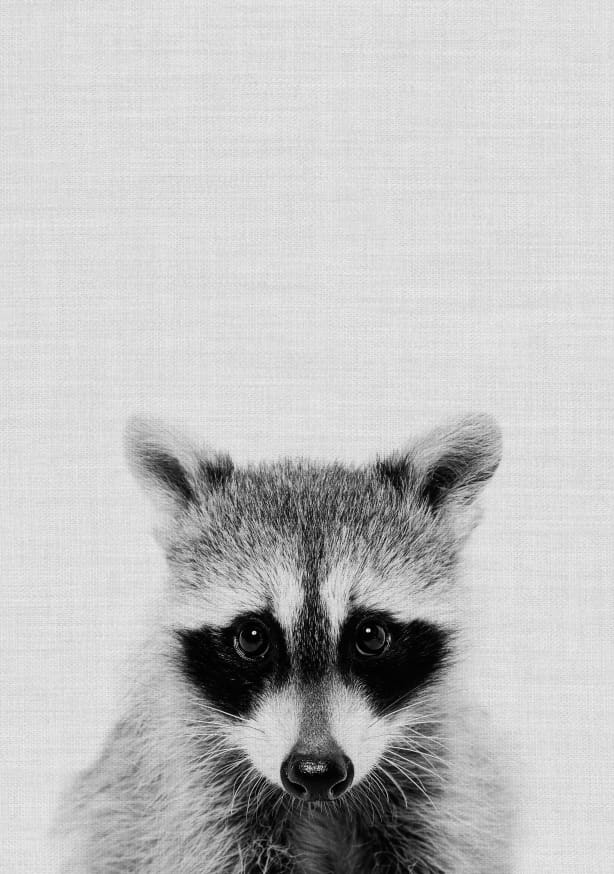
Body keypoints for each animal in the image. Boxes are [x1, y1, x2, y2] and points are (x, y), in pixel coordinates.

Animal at [57, 413, 512, 874]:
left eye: (371, 636)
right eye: (252, 637)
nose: (316, 771)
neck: (322, 807)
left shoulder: (445, 788)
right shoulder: (188, 796)